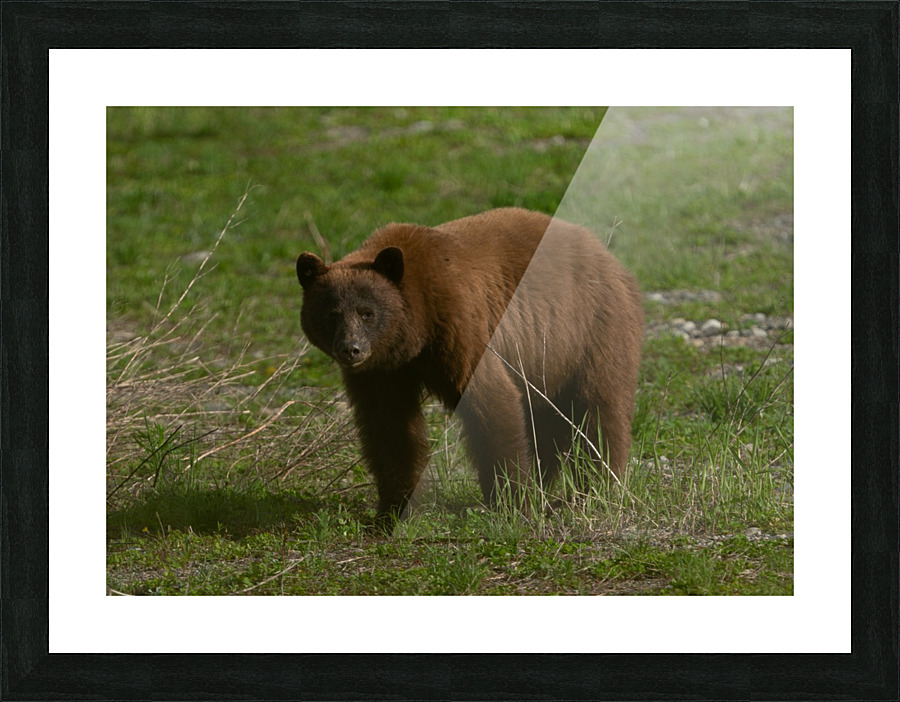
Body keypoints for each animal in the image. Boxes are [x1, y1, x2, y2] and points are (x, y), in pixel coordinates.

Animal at [296, 207, 643, 531]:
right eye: (331, 314)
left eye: (367, 312)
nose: (350, 349)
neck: (417, 327)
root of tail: (609, 257)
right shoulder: (382, 370)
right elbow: (389, 427)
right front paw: (392, 510)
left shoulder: (460, 324)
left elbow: (491, 402)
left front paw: (512, 506)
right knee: (547, 421)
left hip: (591, 329)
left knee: (598, 410)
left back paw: (592, 492)